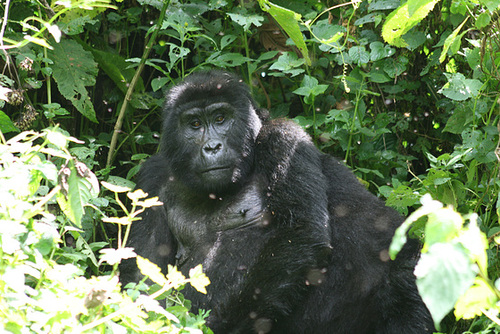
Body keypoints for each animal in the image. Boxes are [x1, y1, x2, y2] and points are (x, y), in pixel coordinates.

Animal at [121, 69, 434, 332]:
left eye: (221, 118)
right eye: (194, 124)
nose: (212, 147)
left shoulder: (284, 137)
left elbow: (301, 234)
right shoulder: (151, 178)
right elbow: (142, 275)